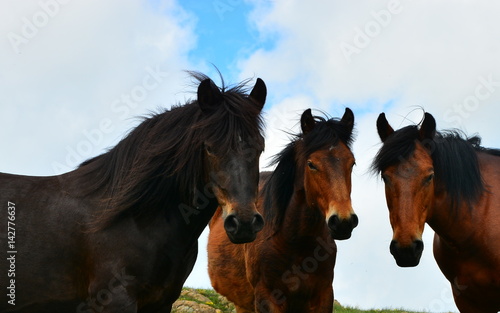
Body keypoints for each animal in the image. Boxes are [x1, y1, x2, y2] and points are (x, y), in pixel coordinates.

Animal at [0, 73, 266, 312]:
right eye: (209, 148)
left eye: (260, 147)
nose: (243, 223)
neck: (134, 218)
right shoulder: (115, 299)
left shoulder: (161, 303)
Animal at [208, 108, 360, 312]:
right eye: (311, 164)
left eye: (352, 163)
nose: (344, 221)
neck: (296, 242)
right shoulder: (268, 297)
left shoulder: (323, 295)